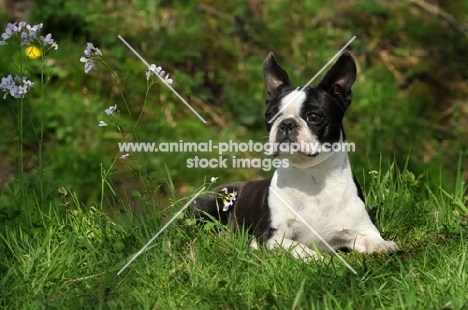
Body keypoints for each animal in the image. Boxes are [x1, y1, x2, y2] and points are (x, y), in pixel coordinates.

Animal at [192, 51, 396, 260]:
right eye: (270, 116)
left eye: (314, 117)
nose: (286, 123)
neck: (312, 177)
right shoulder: (273, 236)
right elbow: (299, 248)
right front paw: (320, 259)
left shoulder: (363, 229)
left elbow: (374, 239)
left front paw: (385, 245)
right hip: (213, 200)